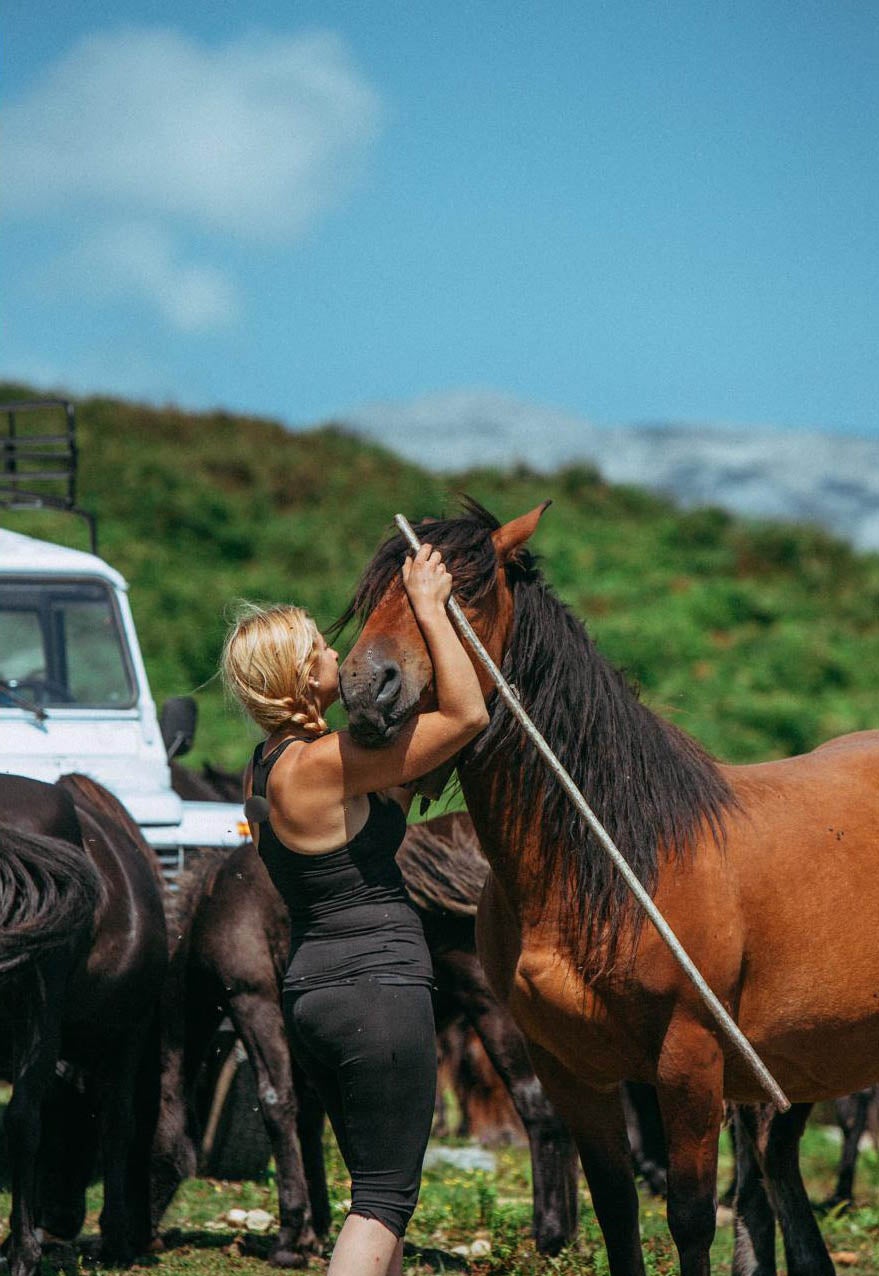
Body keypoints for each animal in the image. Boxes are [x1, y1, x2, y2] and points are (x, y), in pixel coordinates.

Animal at [336, 497, 877, 1276]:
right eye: (375, 589)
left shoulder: (690, 1065)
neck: (614, 865)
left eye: (462, 593)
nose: (364, 686)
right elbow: (618, 1210)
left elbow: (688, 1218)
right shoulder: (572, 1072)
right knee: (778, 1175)